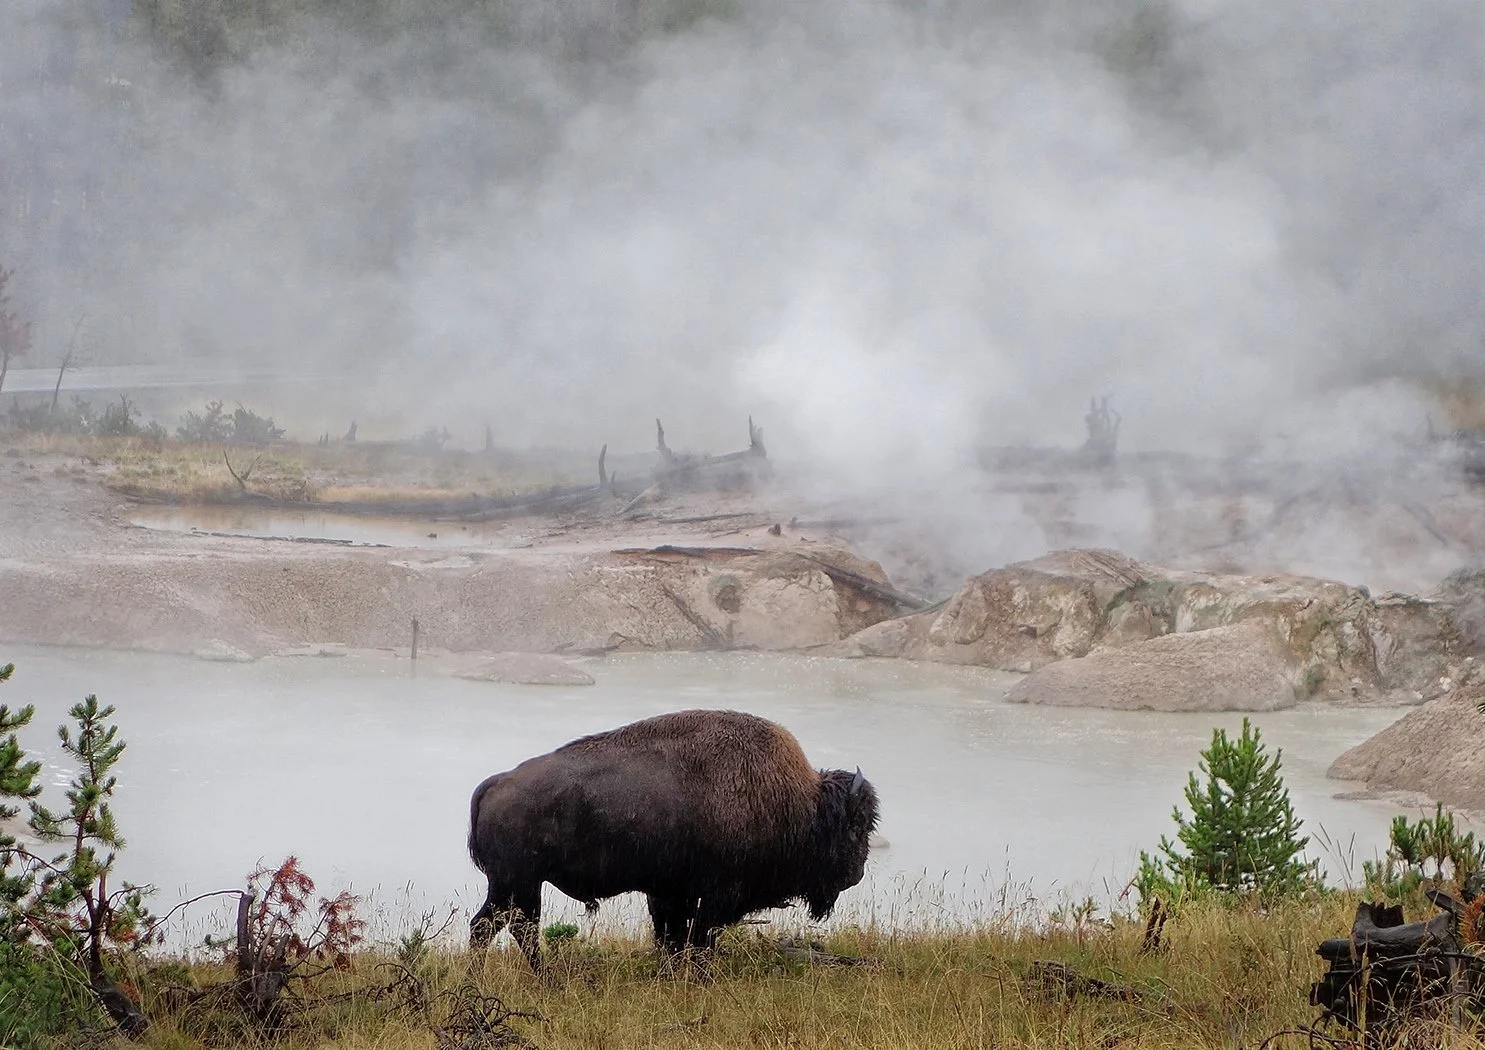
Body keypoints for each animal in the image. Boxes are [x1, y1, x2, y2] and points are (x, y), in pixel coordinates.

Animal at [467, 708, 879, 970]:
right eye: (856, 824)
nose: (856, 873)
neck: (795, 803)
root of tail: (496, 783)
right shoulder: (714, 897)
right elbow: (696, 937)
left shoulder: (672, 894)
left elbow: (674, 936)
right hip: (518, 885)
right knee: (507, 928)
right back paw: (544, 978)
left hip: (514, 888)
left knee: (493, 927)